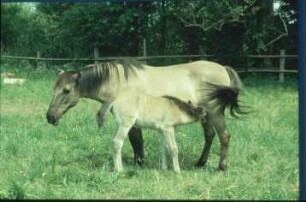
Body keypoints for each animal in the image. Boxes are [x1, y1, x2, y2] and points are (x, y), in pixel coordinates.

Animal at [46, 58, 244, 170]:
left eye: (66, 90)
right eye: (54, 89)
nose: (50, 117)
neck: (118, 81)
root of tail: (223, 68)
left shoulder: (132, 121)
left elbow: (136, 142)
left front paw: (140, 164)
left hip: (215, 113)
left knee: (224, 136)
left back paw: (221, 166)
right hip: (206, 114)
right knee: (210, 135)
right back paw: (200, 163)